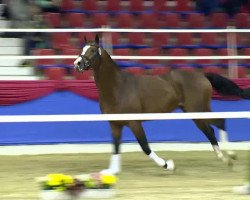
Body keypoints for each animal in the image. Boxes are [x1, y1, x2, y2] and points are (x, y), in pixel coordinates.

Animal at [73, 35, 250, 174]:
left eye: (93, 50)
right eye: (83, 48)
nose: (77, 63)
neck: (117, 87)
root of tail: (202, 75)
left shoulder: (134, 123)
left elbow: (145, 147)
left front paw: (168, 165)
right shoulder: (115, 124)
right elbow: (115, 147)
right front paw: (112, 171)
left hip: (199, 109)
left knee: (220, 122)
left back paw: (231, 155)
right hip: (193, 112)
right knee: (210, 131)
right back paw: (224, 158)